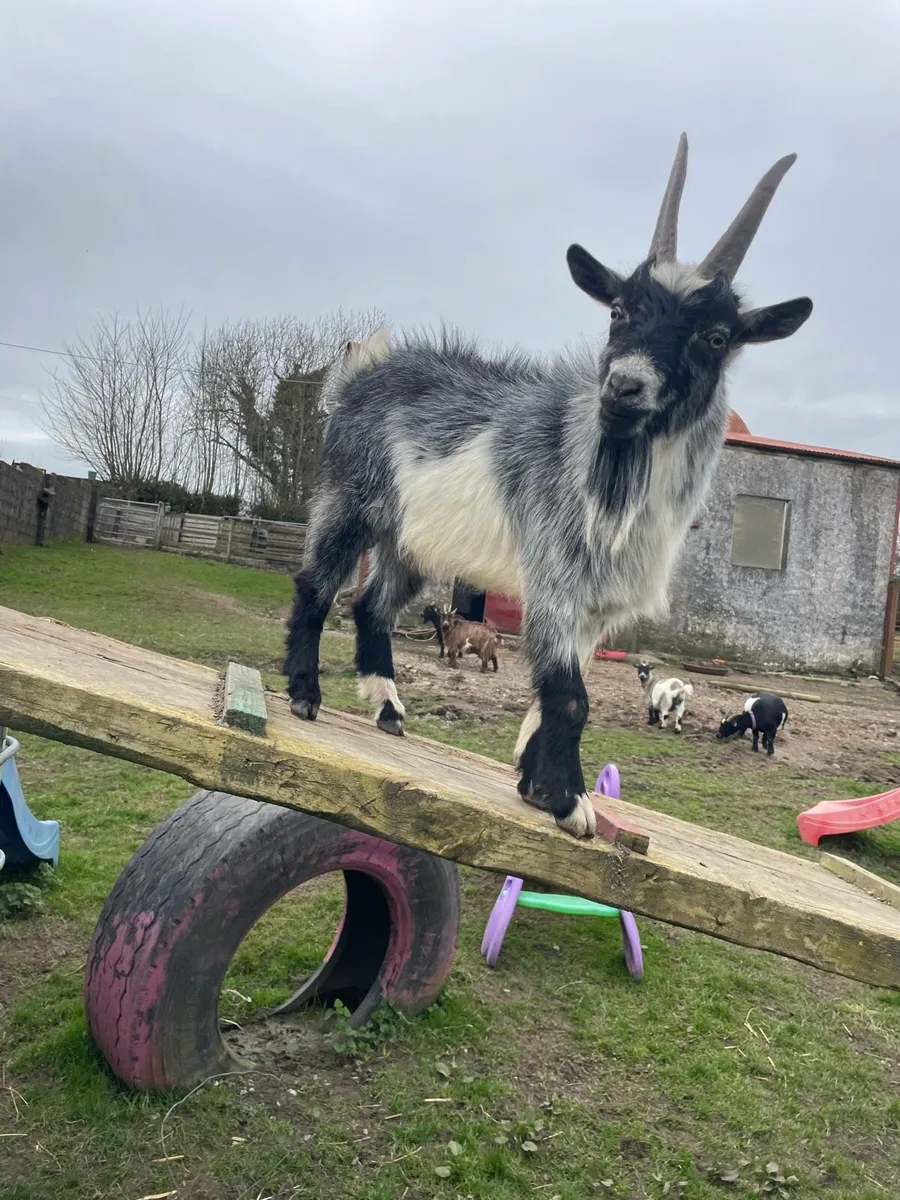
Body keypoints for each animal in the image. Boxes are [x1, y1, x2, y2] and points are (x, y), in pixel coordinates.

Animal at [284, 134, 812, 839]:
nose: (623, 387)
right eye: (618, 309)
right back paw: (305, 695)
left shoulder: (594, 607)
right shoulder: (557, 576)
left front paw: (535, 786)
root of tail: (363, 372)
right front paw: (569, 801)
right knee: (317, 584)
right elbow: (570, 696)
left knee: (372, 607)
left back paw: (389, 711)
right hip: (349, 499)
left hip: (411, 541)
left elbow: (554, 695)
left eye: (718, 335)